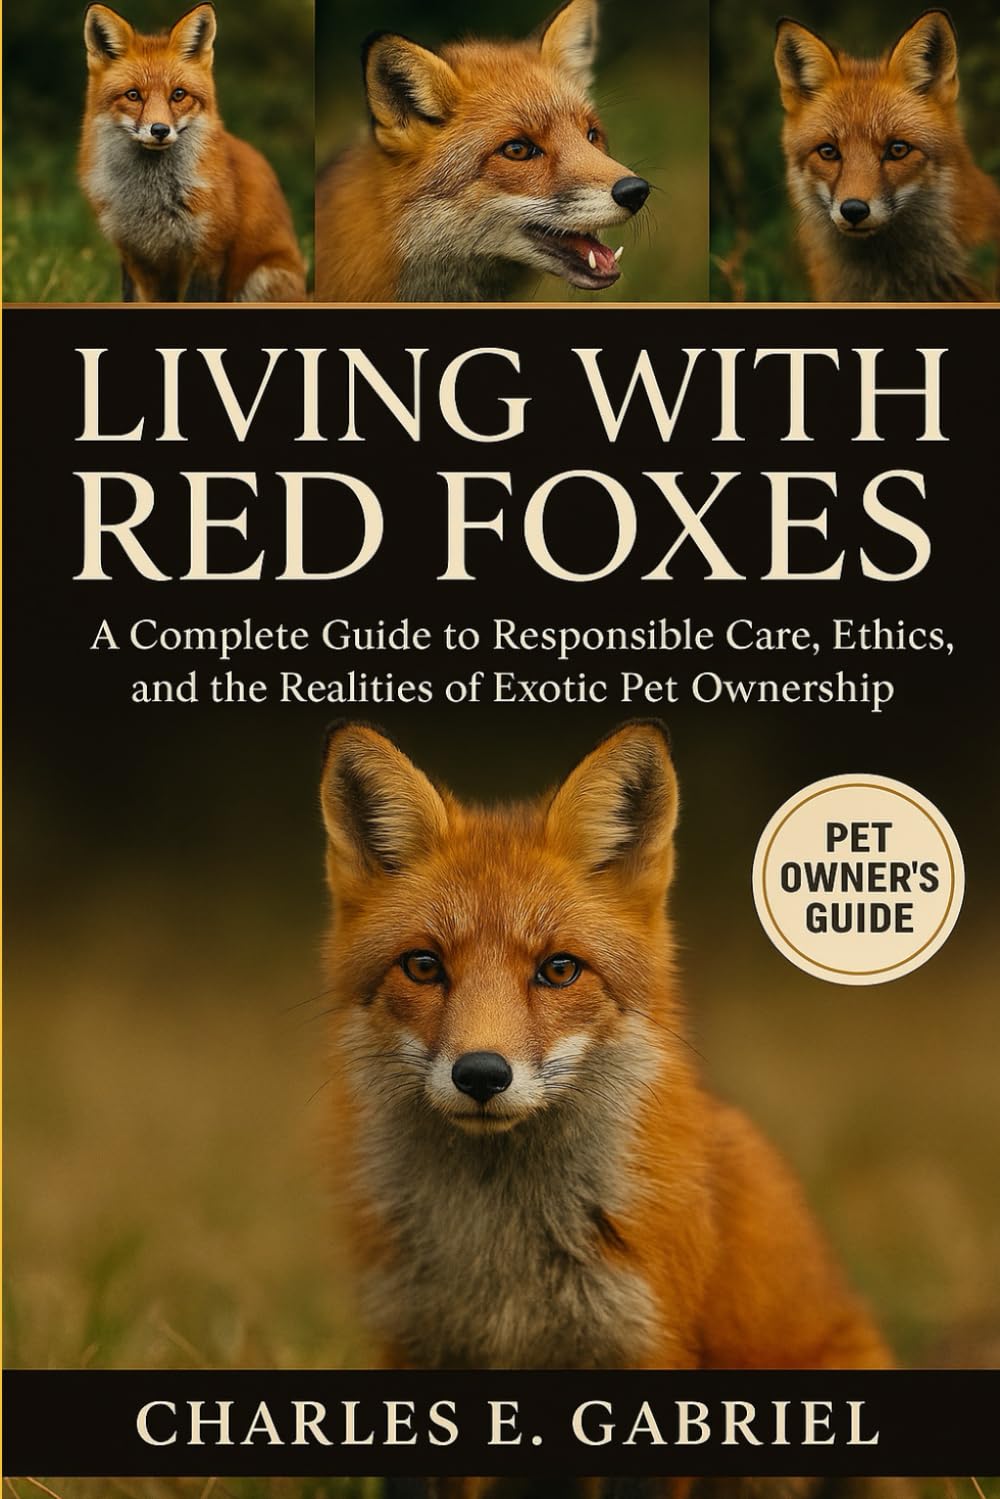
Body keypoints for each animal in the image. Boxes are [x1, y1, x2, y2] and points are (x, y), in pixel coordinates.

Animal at [79, 3, 307, 301]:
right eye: (133, 95)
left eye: (178, 94)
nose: (160, 130)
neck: (152, 201)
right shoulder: (135, 256)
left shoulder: (206, 254)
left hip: (261, 278)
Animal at [319, 721, 894, 1498]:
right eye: (423, 965)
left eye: (559, 969)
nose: (480, 1074)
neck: (503, 1260)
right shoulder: (415, 1353)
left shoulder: (646, 1360)